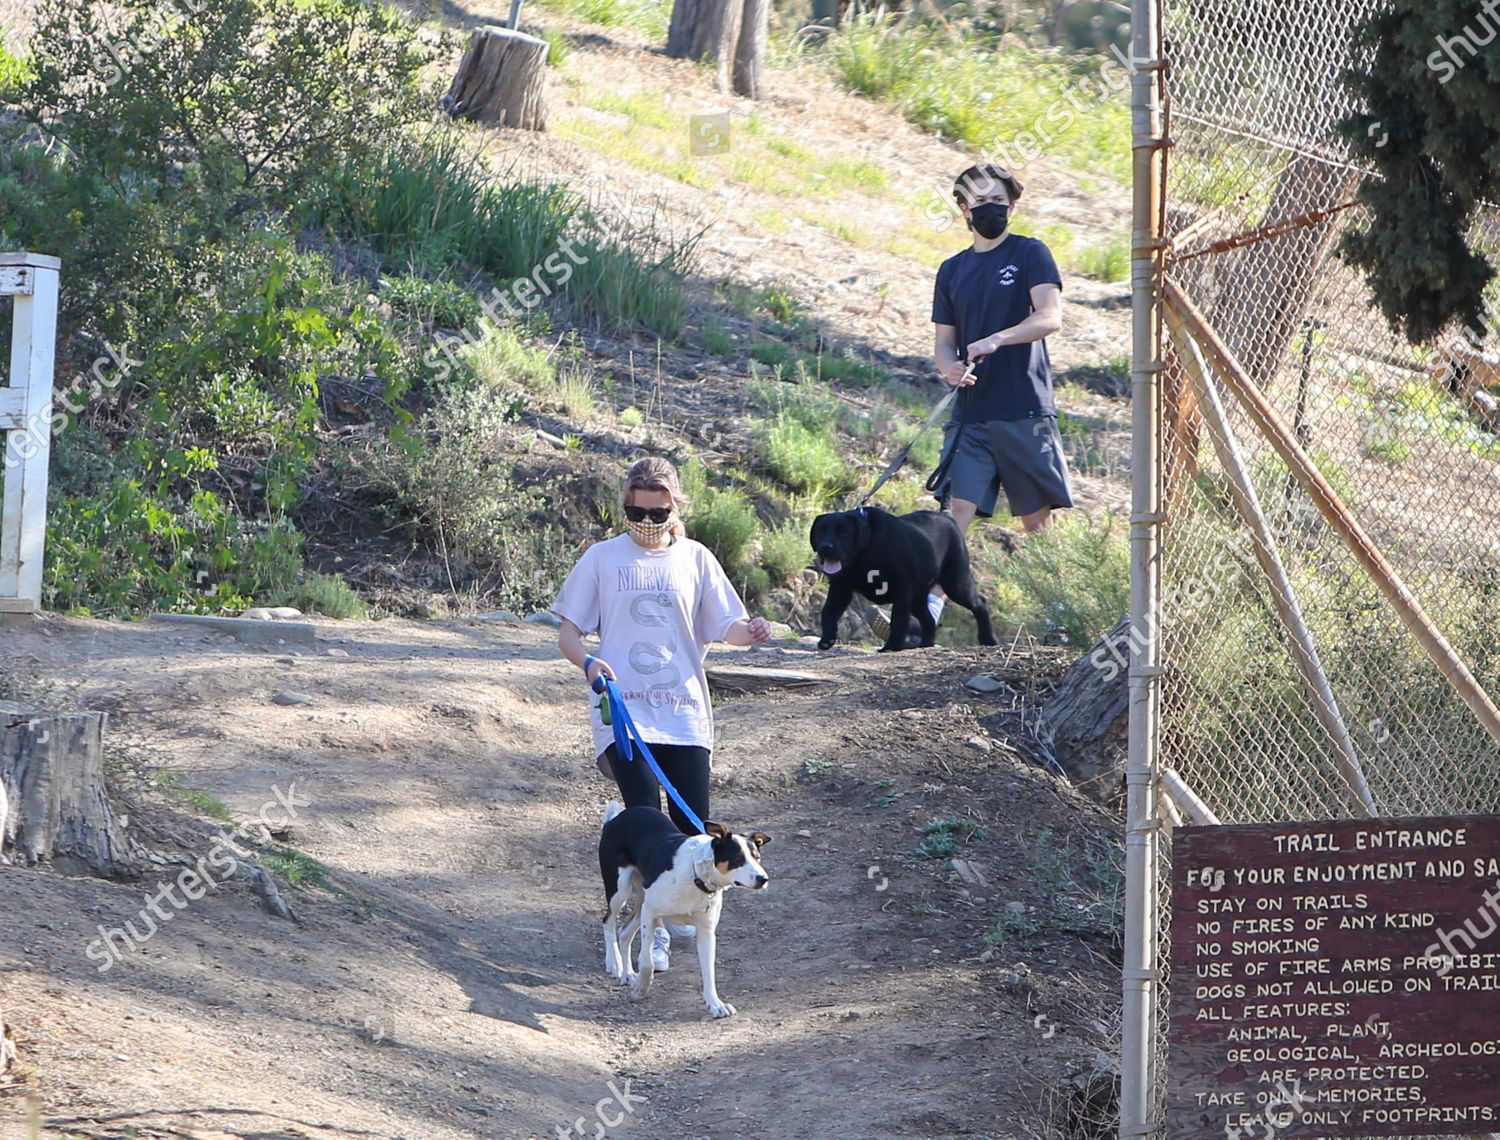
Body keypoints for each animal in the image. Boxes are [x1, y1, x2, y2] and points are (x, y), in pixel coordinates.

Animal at [594, 804, 768, 1014]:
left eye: (757, 858)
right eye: (738, 858)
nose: (763, 879)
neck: (696, 876)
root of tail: (615, 819)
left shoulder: (706, 931)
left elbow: (709, 972)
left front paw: (715, 1004)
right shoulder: (650, 913)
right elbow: (647, 962)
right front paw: (640, 990)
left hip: (640, 901)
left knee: (625, 931)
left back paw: (627, 974)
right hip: (619, 891)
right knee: (608, 922)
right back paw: (614, 963)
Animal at [810, 507, 996, 651]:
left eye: (844, 532)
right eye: (821, 531)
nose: (826, 547)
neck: (866, 546)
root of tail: (947, 516)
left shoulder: (901, 590)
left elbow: (898, 620)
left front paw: (891, 647)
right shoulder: (840, 588)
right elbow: (828, 612)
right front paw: (826, 639)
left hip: (956, 584)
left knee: (980, 604)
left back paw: (988, 639)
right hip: (918, 598)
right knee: (928, 620)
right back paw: (926, 644)